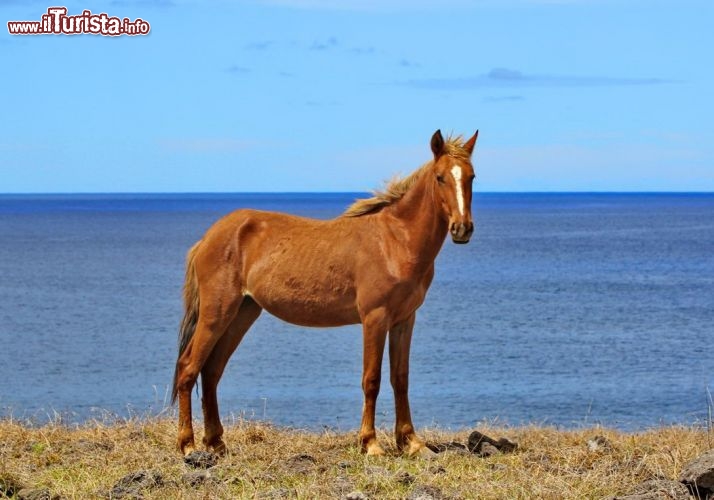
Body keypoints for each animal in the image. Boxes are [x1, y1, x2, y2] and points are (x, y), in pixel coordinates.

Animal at [170, 130, 476, 458]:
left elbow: (400, 378)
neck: (395, 241)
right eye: (440, 177)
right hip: (218, 312)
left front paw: (412, 442)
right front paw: (371, 443)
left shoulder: (405, 319)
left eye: (471, 176)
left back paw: (216, 442)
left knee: (211, 371)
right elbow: (372, 379)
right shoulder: (375, 318)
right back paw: (188, 445)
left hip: (243, 312)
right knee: (189, 367)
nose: (462, 229)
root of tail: (207, 238)